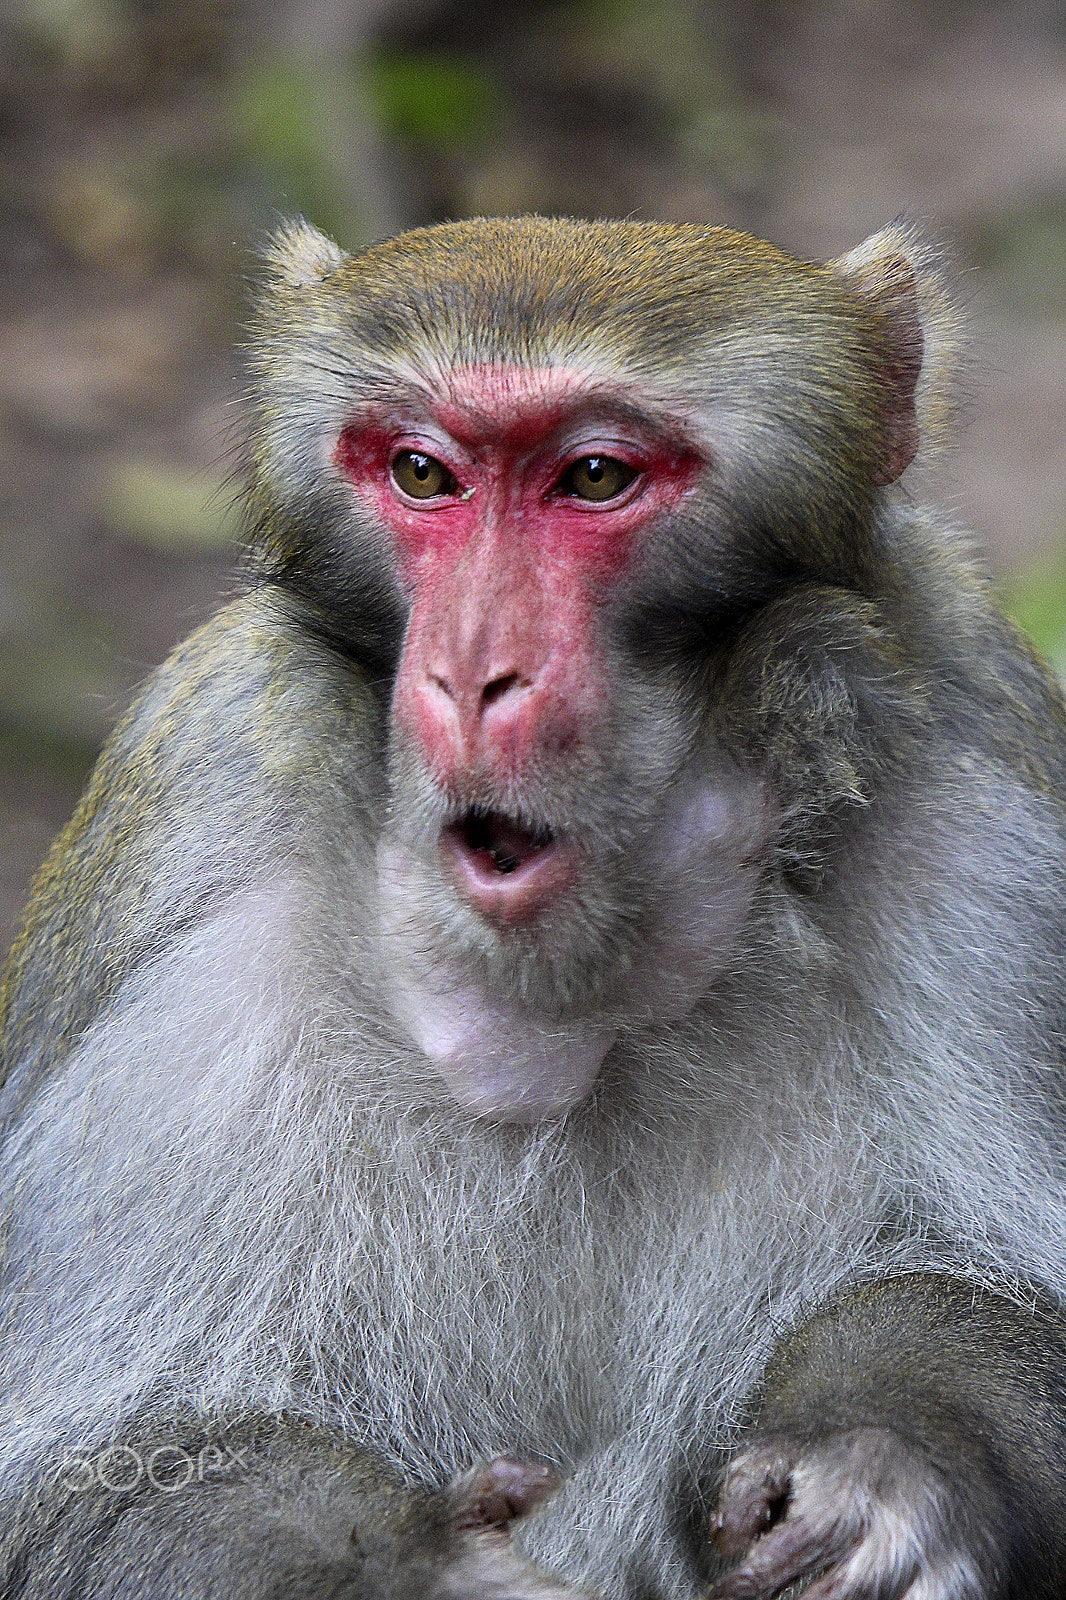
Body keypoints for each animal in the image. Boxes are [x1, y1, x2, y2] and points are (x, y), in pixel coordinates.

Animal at [2, 212, 1066, 1600]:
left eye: (595, 478)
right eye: (421, 472)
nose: (467, 675)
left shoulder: (966, 782)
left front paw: (889, 1468)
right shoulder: (205, 823)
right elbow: (92, 1464)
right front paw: (417, 1572)